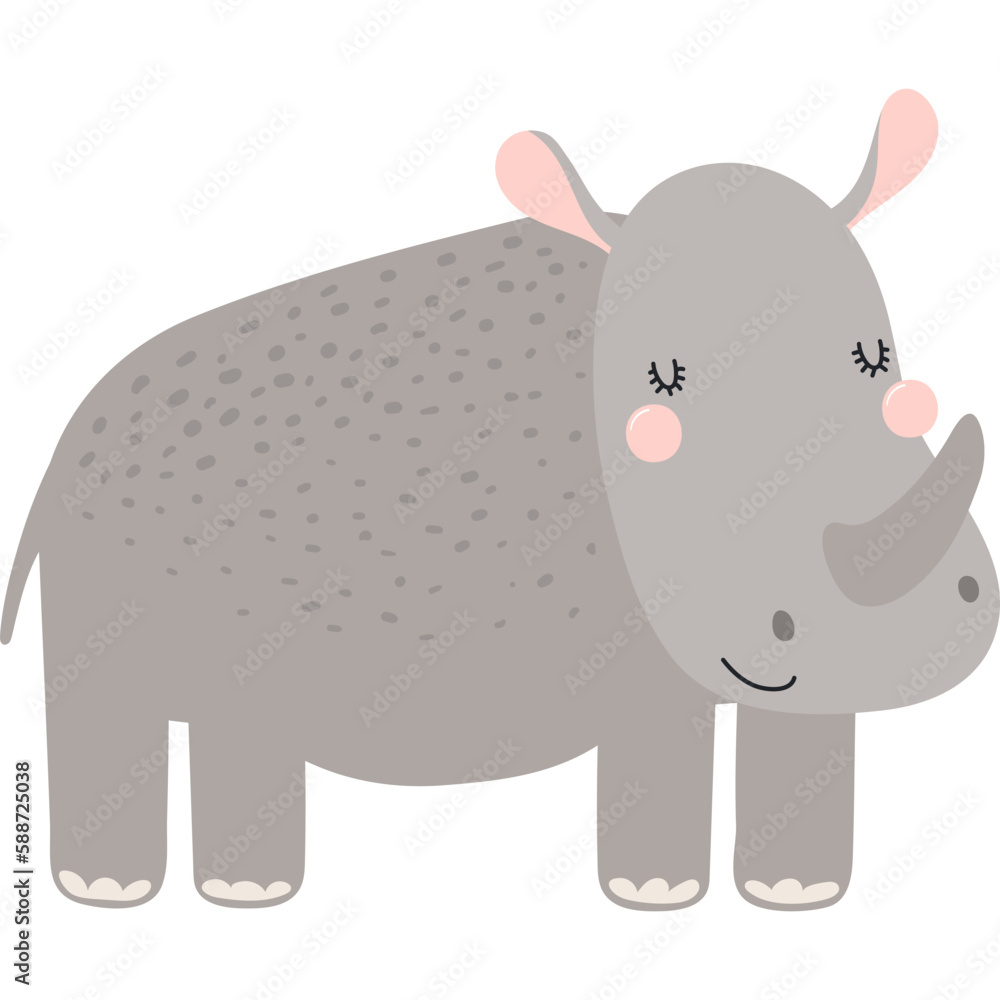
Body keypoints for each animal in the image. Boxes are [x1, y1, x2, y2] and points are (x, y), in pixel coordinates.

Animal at [3, 89, 995, 912]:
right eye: (659, 392)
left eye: (884, 366)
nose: (932, 621)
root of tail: (65, 435)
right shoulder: (637, 648)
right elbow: (663, 754)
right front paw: (657, 896)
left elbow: (805, 734)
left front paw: (794, 897)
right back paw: (118, 893)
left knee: (235, 709)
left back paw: (239, 894)